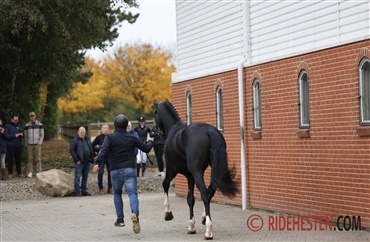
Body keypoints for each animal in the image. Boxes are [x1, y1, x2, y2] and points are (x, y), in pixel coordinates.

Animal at [153, 99, 237, 239]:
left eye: (155, 114)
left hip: (197, 172)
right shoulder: (189, 176)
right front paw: (192, 226)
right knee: (210, 190)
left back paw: (208, 231)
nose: (157, 133)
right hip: (215, 171)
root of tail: (209, 132)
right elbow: (190, 199)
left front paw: (168, 213)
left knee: (204, 193)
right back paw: (204, 219)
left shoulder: (171, 171)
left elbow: (165, 185)